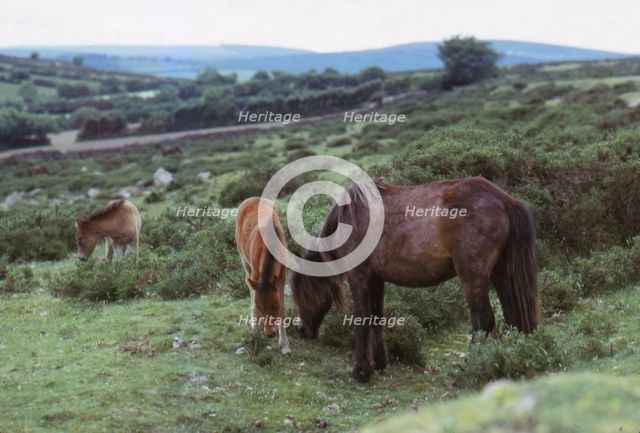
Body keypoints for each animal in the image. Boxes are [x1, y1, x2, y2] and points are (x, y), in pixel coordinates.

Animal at [235, 197, 291, 355]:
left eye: (274, 305)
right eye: (260, 307)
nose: (269, 334)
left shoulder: (282, 275)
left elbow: (283, 309)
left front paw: (285, 346)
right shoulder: (255, 272)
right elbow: (254, 297)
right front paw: (255, 332)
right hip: (244, 259)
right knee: (248, 285)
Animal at [291, 176, 539, 382]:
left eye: (301, 295)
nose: (303, 331)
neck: (350, 218)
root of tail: (504, 200)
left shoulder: (359, 276)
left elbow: (362, 319)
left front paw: (361, 370)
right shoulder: (376, 278)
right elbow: (376, 317)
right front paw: (379, 363)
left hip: (473, 278)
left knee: (483, 322)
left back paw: (468, 370)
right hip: (501, 274)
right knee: (511, 317)